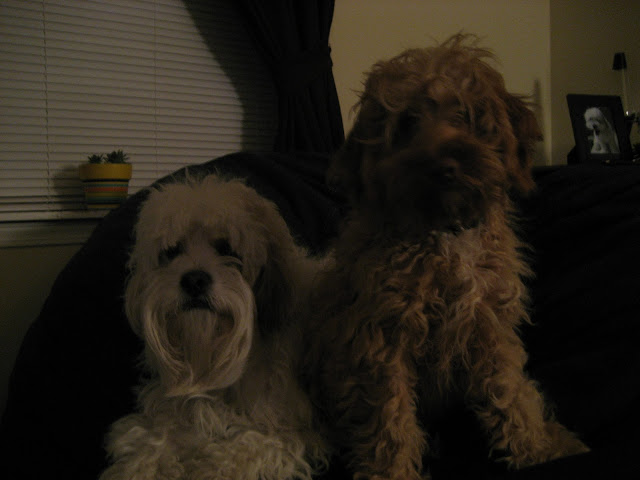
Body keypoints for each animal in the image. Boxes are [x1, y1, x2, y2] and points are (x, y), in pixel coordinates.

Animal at [100, 175, 329, 480]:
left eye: (227, 249)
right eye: (172, 251)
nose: (194, 280)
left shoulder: (285, 434)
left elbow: (234, 454)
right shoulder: (176, 412)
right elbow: (151, 440)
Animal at [305, 34, 589, 480]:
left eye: (465, 114)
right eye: (406, 123)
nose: (444, 166)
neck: (444, 234)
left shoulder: (488, 327)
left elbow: (511, 394)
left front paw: (538, 450)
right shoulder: (381, 342)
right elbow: (390, 423)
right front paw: (393, 474)